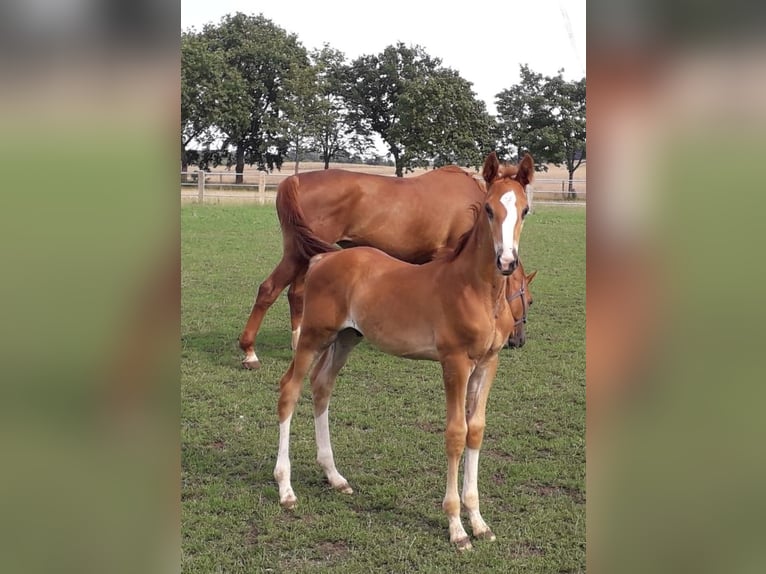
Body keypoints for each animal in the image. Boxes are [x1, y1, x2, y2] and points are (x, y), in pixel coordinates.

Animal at [237, 160, 532, 372]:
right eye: (529, 300)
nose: (518, 341)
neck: (477, 205)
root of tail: (295, 179)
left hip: (304, 253)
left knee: (295, 294)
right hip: (296, 254)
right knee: (269, 290)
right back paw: (250, 353)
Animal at [274, 151, 536, 552]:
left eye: (525, 209)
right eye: (489, 209)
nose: (506, 261)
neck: (477, 291)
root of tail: (323, 260)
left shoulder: (488, 363)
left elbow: (476, 430)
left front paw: (479, 522)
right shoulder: (454, 362)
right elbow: (455, 433)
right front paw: (457, 528)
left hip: (346, 338)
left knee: (321, 387)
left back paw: (335, 476)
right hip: (314, 335)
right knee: (290, 388)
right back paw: (286, 489)